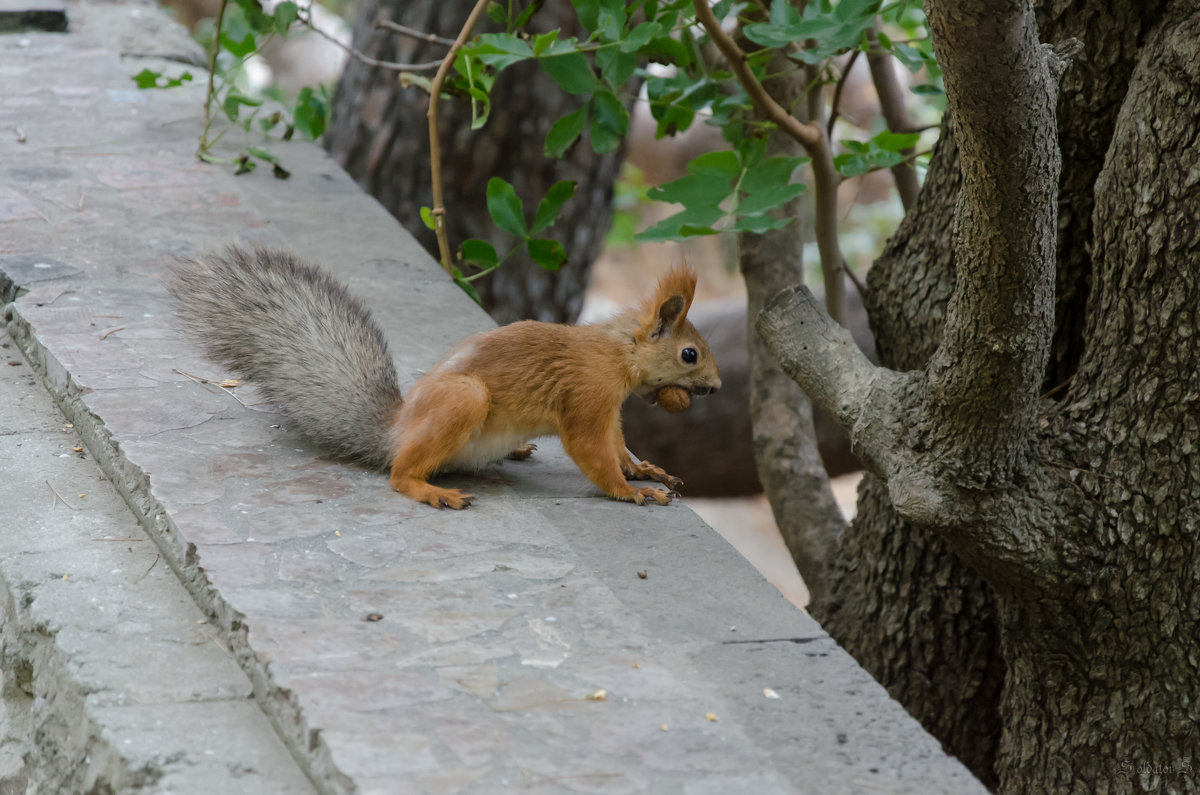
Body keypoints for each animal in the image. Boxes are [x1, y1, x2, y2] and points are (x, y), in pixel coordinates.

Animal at [169, 247, 720, 511]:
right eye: (689, 354)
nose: (716, 388)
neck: (617, 352)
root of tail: (394, 431)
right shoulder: (587, 396)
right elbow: (594, 453)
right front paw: (630, 492)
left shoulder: (609, 411)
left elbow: (618, 445)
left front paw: (645, 470)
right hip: (462, 400)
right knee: (399, 475)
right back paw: (430, 490)